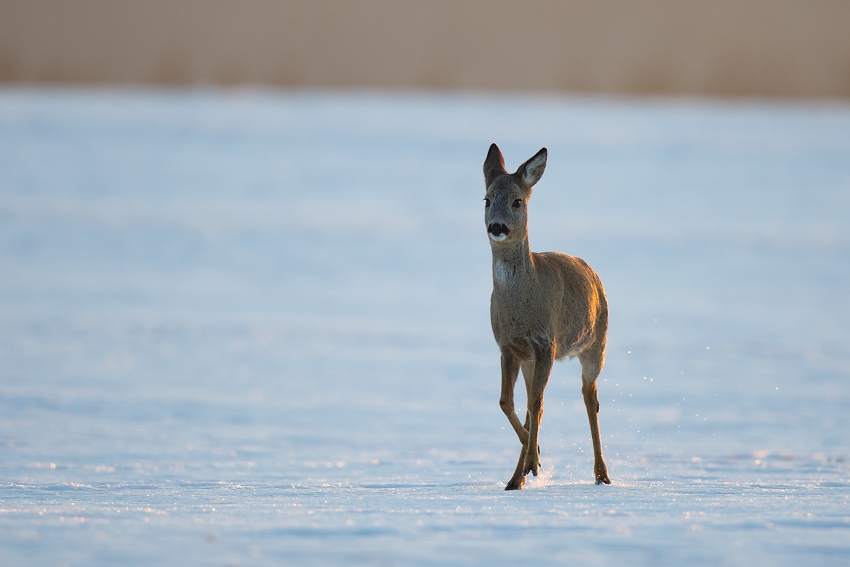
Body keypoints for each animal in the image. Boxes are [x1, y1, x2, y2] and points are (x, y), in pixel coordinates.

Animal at [483, 143, 611, 490]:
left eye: (517, 201)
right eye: (487, 199)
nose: (497, 227)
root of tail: (593, 273)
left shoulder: (546, 343)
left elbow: (535, 403)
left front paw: (532, 461)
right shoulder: (508, 346)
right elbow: (507, 402)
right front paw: (533, 459)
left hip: (596, 344)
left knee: (590, 397)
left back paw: (602, 475)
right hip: (532, 360)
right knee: (533, 404)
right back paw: (520, 473)